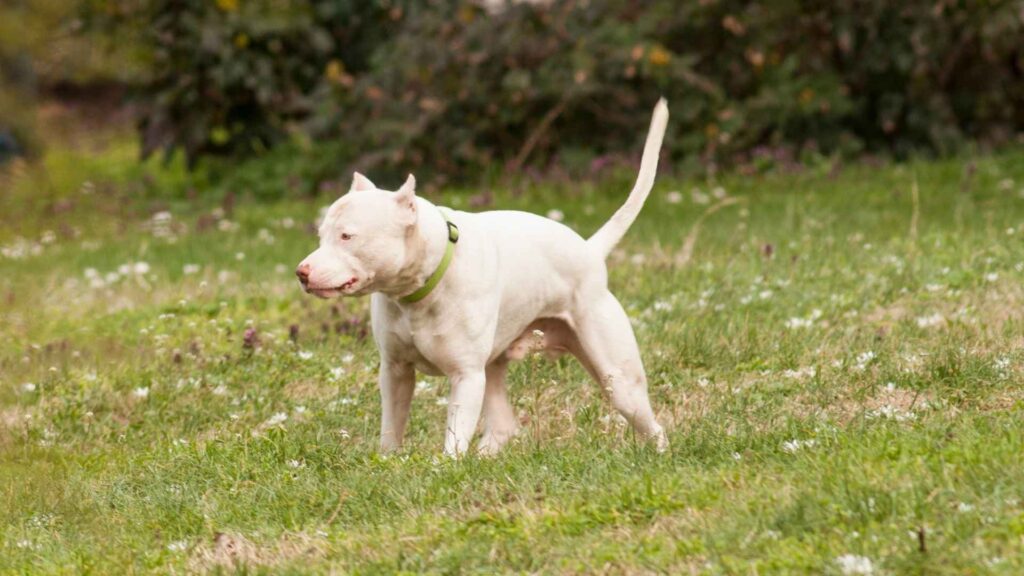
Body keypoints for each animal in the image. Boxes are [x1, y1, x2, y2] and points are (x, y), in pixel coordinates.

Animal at [299, 99, 671, 457]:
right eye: (320, 235)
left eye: (347, 236)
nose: (301, 272)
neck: (422, 287)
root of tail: (590, 251)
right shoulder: (395, 371)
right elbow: (392, 428)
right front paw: (388, 461)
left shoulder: (466, 377)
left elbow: (454, 437)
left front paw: (445, 467)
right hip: (496, 368)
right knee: (503, 426)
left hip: (618, 379)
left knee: (650, 423)